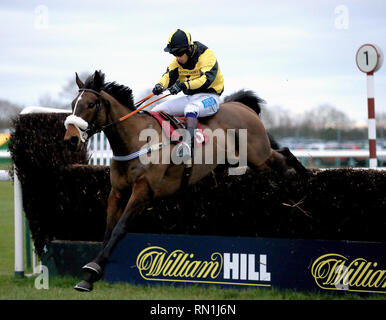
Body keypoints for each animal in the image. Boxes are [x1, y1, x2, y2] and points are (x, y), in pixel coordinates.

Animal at [64, 70, 308, 292]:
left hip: (257, 155)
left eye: (91, 104)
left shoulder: (143, 191)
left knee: (282, 156)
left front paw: (93, 268)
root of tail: (242, 107)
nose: (71, 140)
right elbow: (108, 229)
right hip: (250, 161)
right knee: (282, 154)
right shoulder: (117, 191)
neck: (136, 140)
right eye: (73, 103)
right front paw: (89, 276)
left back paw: (297, 175)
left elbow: (119, 228)